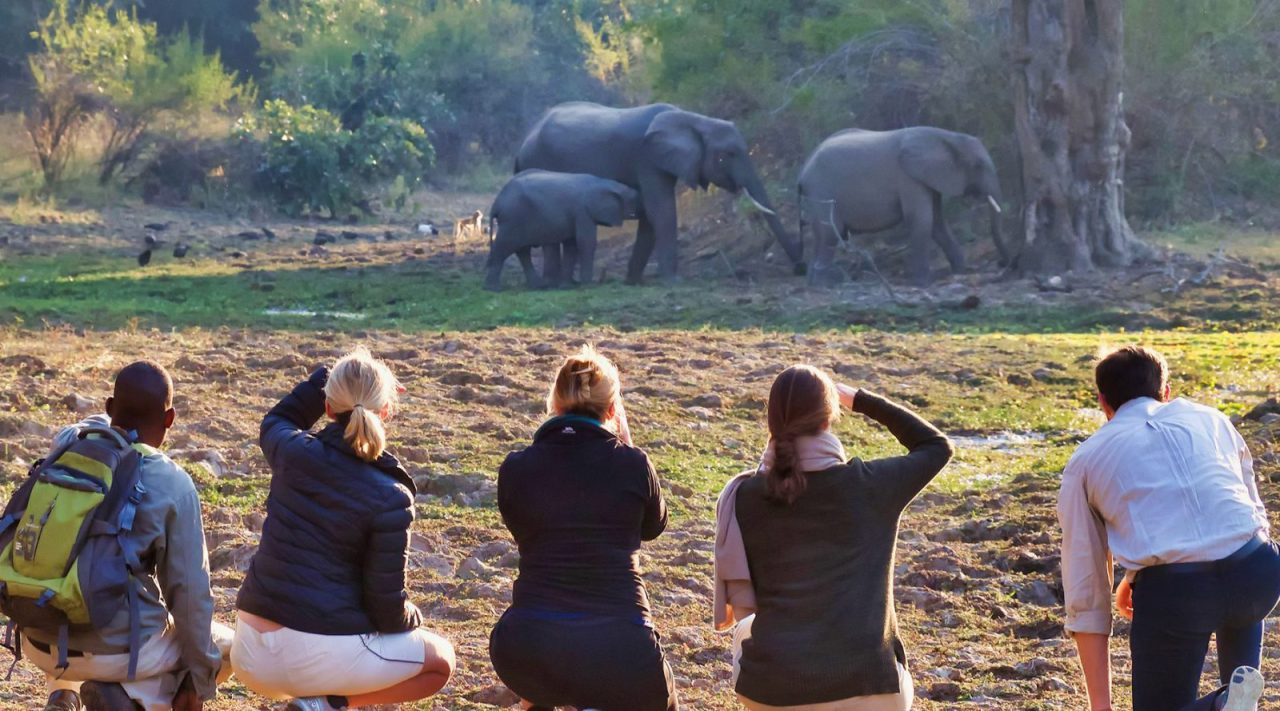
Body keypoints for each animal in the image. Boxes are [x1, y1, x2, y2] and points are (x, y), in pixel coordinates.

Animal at [485, 170, 638, 291]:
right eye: (634, 200)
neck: (604, 182)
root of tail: (497, 202)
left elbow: (572, 245)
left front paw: (567, 286)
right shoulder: (582, 212)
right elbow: (585, 242)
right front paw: (588, 285)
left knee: (522, 251)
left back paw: (538, 286)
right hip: (512, 219)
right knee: (504, 248)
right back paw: (494, 289)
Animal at [515, 102, 805, 284]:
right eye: (726, 156)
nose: (799, 269)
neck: (691, 119)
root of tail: (524, 141)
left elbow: (648, 214)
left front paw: (633, 281)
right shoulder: (646, 157)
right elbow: (660, 209)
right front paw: (673, 281)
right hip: (538, 162)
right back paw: (552, 283)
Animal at [797, 126, 1008, 286]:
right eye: (978, 165)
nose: (1001, 264)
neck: (946, 136)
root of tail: (802, 172)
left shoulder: (929, 178)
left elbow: (937, 222)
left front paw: (960, 272)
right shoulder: (909, 178)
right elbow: (922, 220)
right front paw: (923, 283)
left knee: (821, 236)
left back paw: (815, 282)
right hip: (821, 191)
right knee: (830, 234)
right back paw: (825, 284)